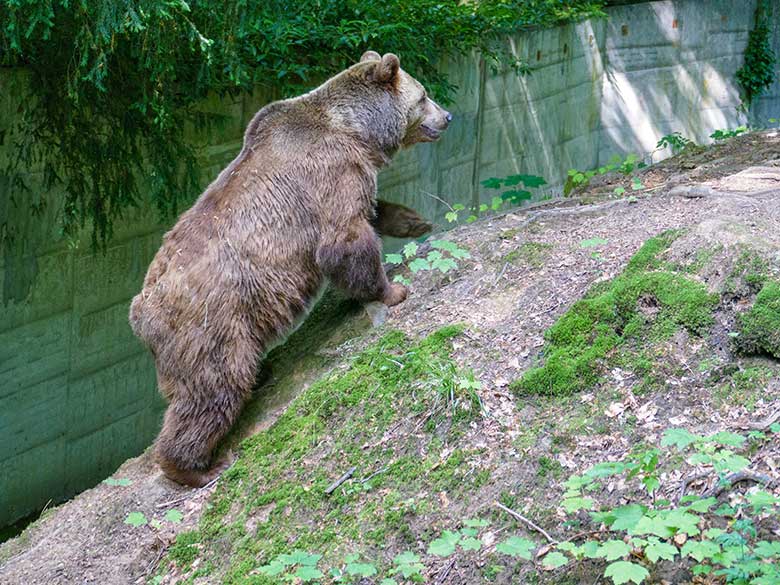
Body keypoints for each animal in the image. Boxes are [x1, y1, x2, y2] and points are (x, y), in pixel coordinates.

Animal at [129, 51, 450, 484]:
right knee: (212, 388)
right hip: (212, 324)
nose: (447, 115)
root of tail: (140, 313)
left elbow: (371, 210)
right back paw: (197, 467)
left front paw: (414, 220)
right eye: (424, 95)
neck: (357, 131)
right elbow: (345, 239)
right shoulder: (329, 175)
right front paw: (391, 290)